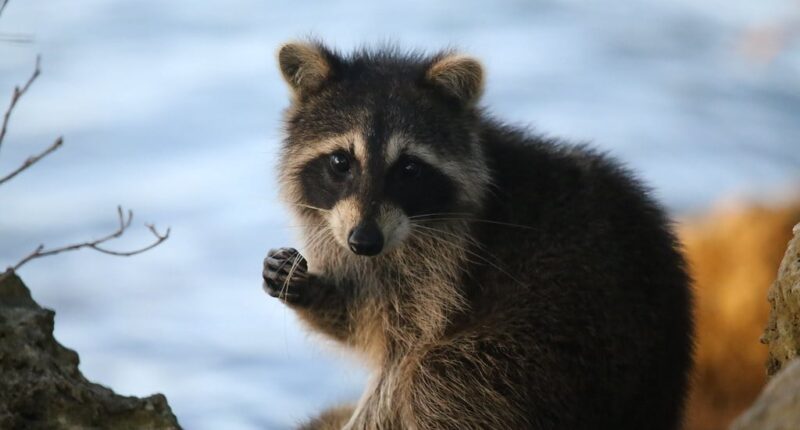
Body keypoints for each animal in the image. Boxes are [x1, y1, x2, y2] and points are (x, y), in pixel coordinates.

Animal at [263, 41, 693, 430]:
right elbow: (362, 318)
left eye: (408, 169)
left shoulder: (446, 269)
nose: (364, 242)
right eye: (340, 162)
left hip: (556, 352)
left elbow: (401, 363)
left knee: (436, 378)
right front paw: (306, 287)